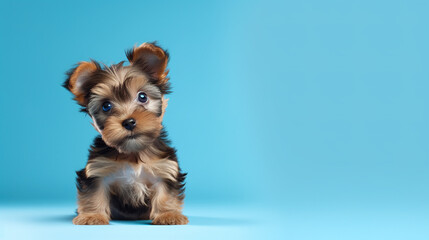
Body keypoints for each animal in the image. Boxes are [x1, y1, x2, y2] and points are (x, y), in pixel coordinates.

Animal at [63, 42, 187, 224]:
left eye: (142, 96)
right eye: (106, 106)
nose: (129, 122)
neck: (132, 151)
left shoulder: (165, 168)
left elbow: (166, 195)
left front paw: (168, 215)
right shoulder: (97, 171)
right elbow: (93, 194)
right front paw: (92, 216)